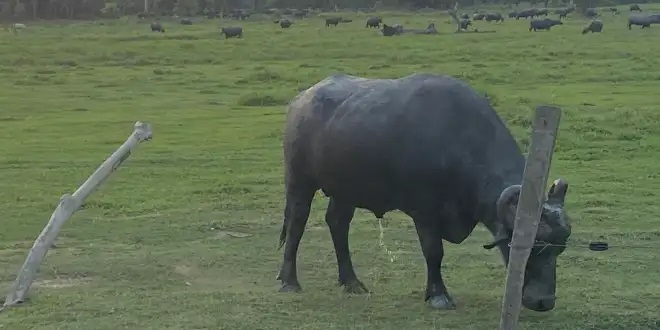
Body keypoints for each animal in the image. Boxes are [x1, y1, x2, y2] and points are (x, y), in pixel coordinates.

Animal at [274, 73, 572, 312]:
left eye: (559, 250)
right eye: (534, 249)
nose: (544, 302)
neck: (457, 143)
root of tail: (301, 100)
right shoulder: (425, 211)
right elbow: (434, 252)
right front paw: (439, 295)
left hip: (345, 190)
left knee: (338, 223)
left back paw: (351, 282)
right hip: (299, 182)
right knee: (297, 224)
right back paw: (289, 281)